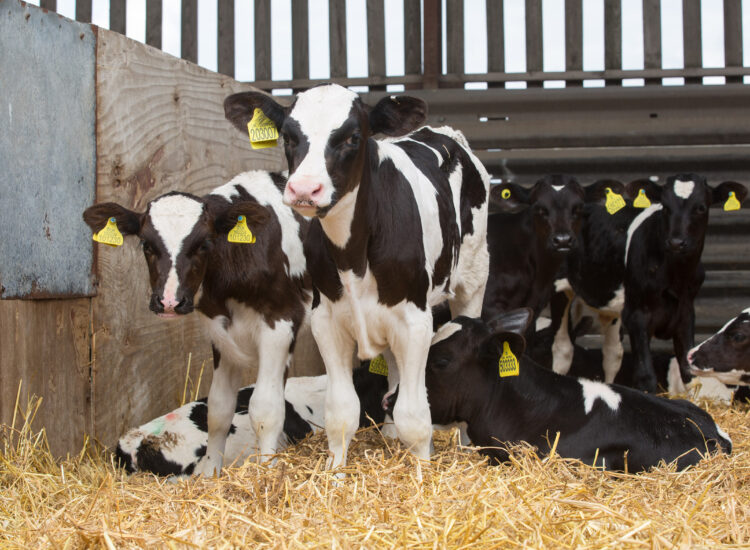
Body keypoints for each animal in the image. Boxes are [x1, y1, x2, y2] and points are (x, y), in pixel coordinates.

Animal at [83, 171, 314, 476]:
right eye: (146, 245)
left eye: (203, 244)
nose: (169, 302)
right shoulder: (220, 332)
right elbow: (218, 408)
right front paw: (209, 473)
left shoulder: (282, 321)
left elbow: (266, 409)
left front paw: (266, 472)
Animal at [224, 84, 490, 468]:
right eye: (288, 136)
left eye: (352, 137)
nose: (305, 189)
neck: (353, 256)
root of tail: (442, 132)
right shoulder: (327, 320)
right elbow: (341, 413)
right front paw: (335, 472)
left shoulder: (415, 320)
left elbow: (415, 416)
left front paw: (423, 471)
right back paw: (391, 435)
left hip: (473, 277)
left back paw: (467, 447)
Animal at [553, 174, 747, 393]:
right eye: (666, 207)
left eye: (700, 207)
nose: (676, 242)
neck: (675, 275)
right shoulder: (637, 316)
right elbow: (645, 377)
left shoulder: (685, 313)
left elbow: (689, 375)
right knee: (562, 349)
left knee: (612, 354)